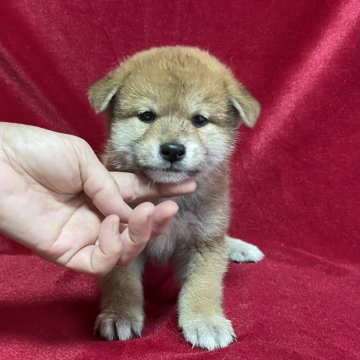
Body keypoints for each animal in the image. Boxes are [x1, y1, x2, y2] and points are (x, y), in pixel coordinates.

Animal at [89, 46, 264, 350]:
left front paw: (206, 320)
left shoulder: (204, 243)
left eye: (199, 120)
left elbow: (203, 285)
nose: (172, 149)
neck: (167, 199)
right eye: (147, 116)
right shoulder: (120, 239)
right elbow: (122, 283)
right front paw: (119, 313)